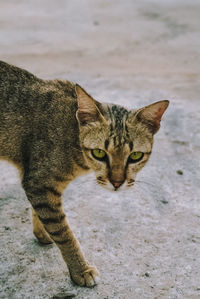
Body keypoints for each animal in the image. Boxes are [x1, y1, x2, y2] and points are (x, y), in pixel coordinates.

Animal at [0, 61, 169, 288]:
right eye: (99, 153)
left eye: (135, 156)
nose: (117, 182)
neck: (72, 136)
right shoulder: (39, 184)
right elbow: (63, 231)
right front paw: (81, 269)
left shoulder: (34, 179)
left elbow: (40, 214)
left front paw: (42, 233)